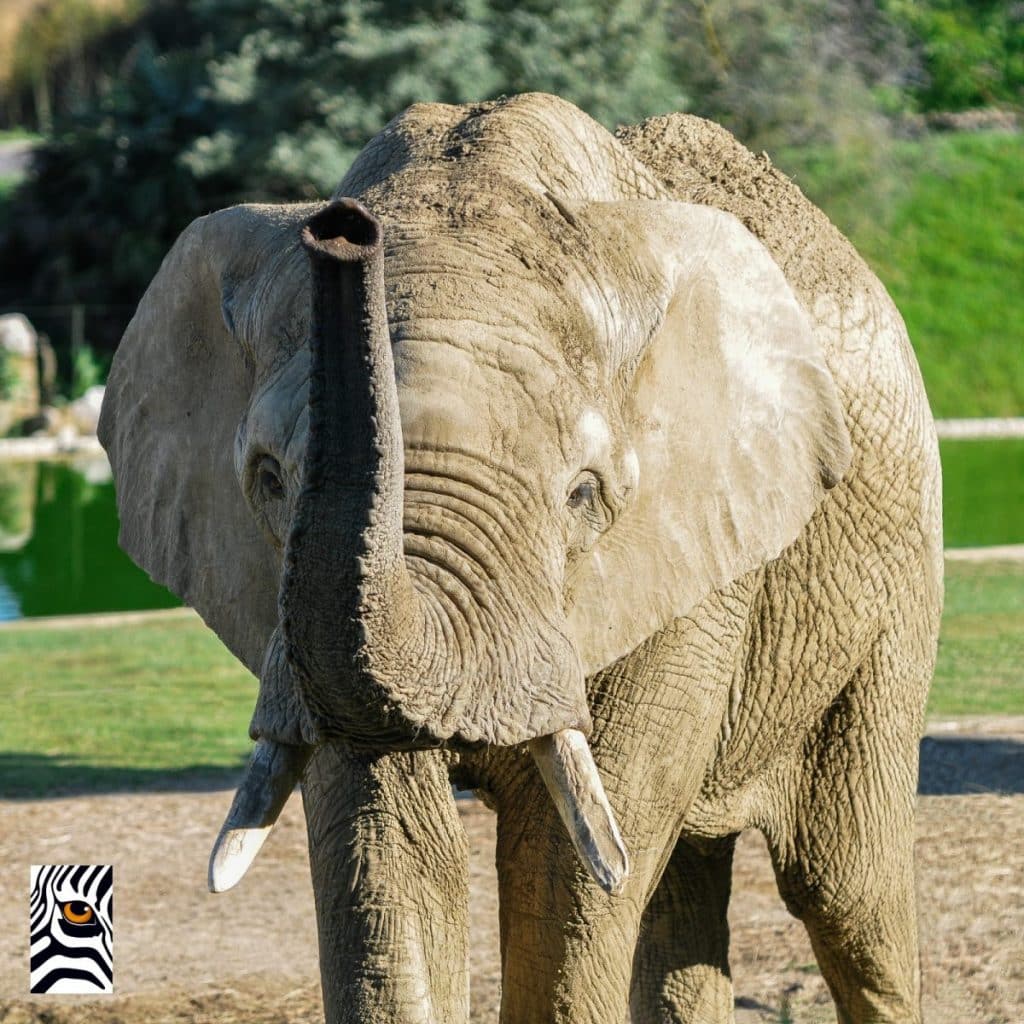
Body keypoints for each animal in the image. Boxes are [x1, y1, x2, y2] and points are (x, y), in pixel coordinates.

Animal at [99, 92, 937, 1019]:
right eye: (269, 480)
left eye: (583, 494)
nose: (344, 232)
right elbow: (385, 846)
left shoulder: (702, 555)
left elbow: (570, 859)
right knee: (684, 895)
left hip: (894, 587)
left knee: (845, 892)